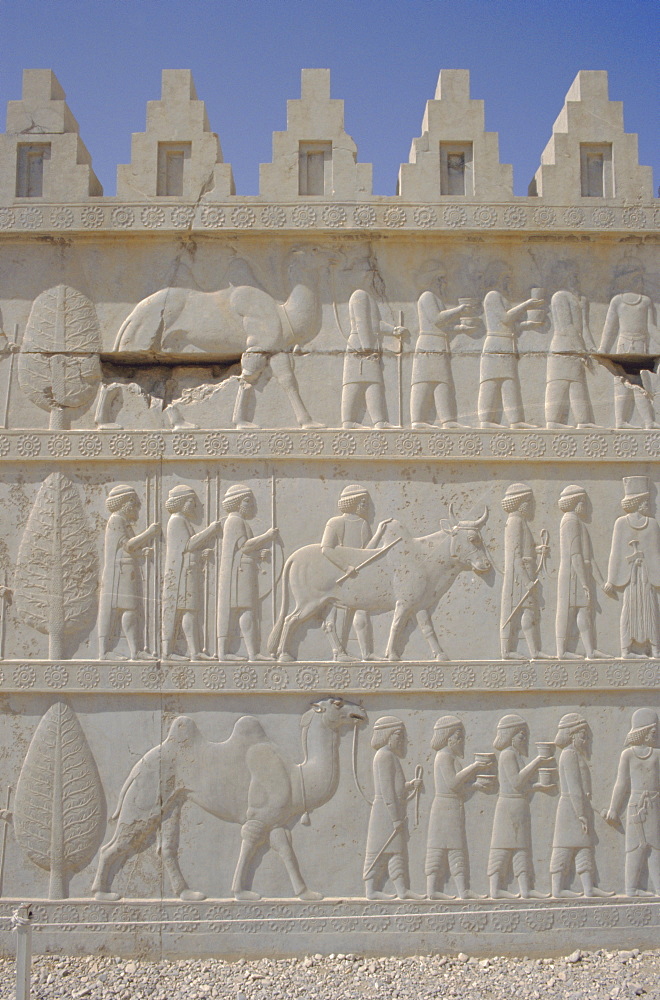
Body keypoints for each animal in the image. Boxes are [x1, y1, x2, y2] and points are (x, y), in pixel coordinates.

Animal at [92, 700, 366, 904]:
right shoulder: (259, 815)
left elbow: (285, 848)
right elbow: (251, 842)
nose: (361, 712)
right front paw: (242, 892)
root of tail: (138, 765)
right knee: (115, 843)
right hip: (146, 794)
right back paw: (103, 894)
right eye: (338, 703)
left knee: (167, 846)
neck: (296, 776)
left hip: (171, 801)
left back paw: (188, 894)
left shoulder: (275, 819)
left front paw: (307, 893)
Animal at [113, 250, 336, 430]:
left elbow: (287, 379)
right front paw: (242, 423)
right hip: (141, 337)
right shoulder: (259, 342)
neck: (283, 314)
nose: (332, 259)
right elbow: (248, 378)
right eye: (313, 251)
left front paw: (309, 423)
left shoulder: (276, 348)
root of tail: (133, 314)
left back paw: (182, 424)